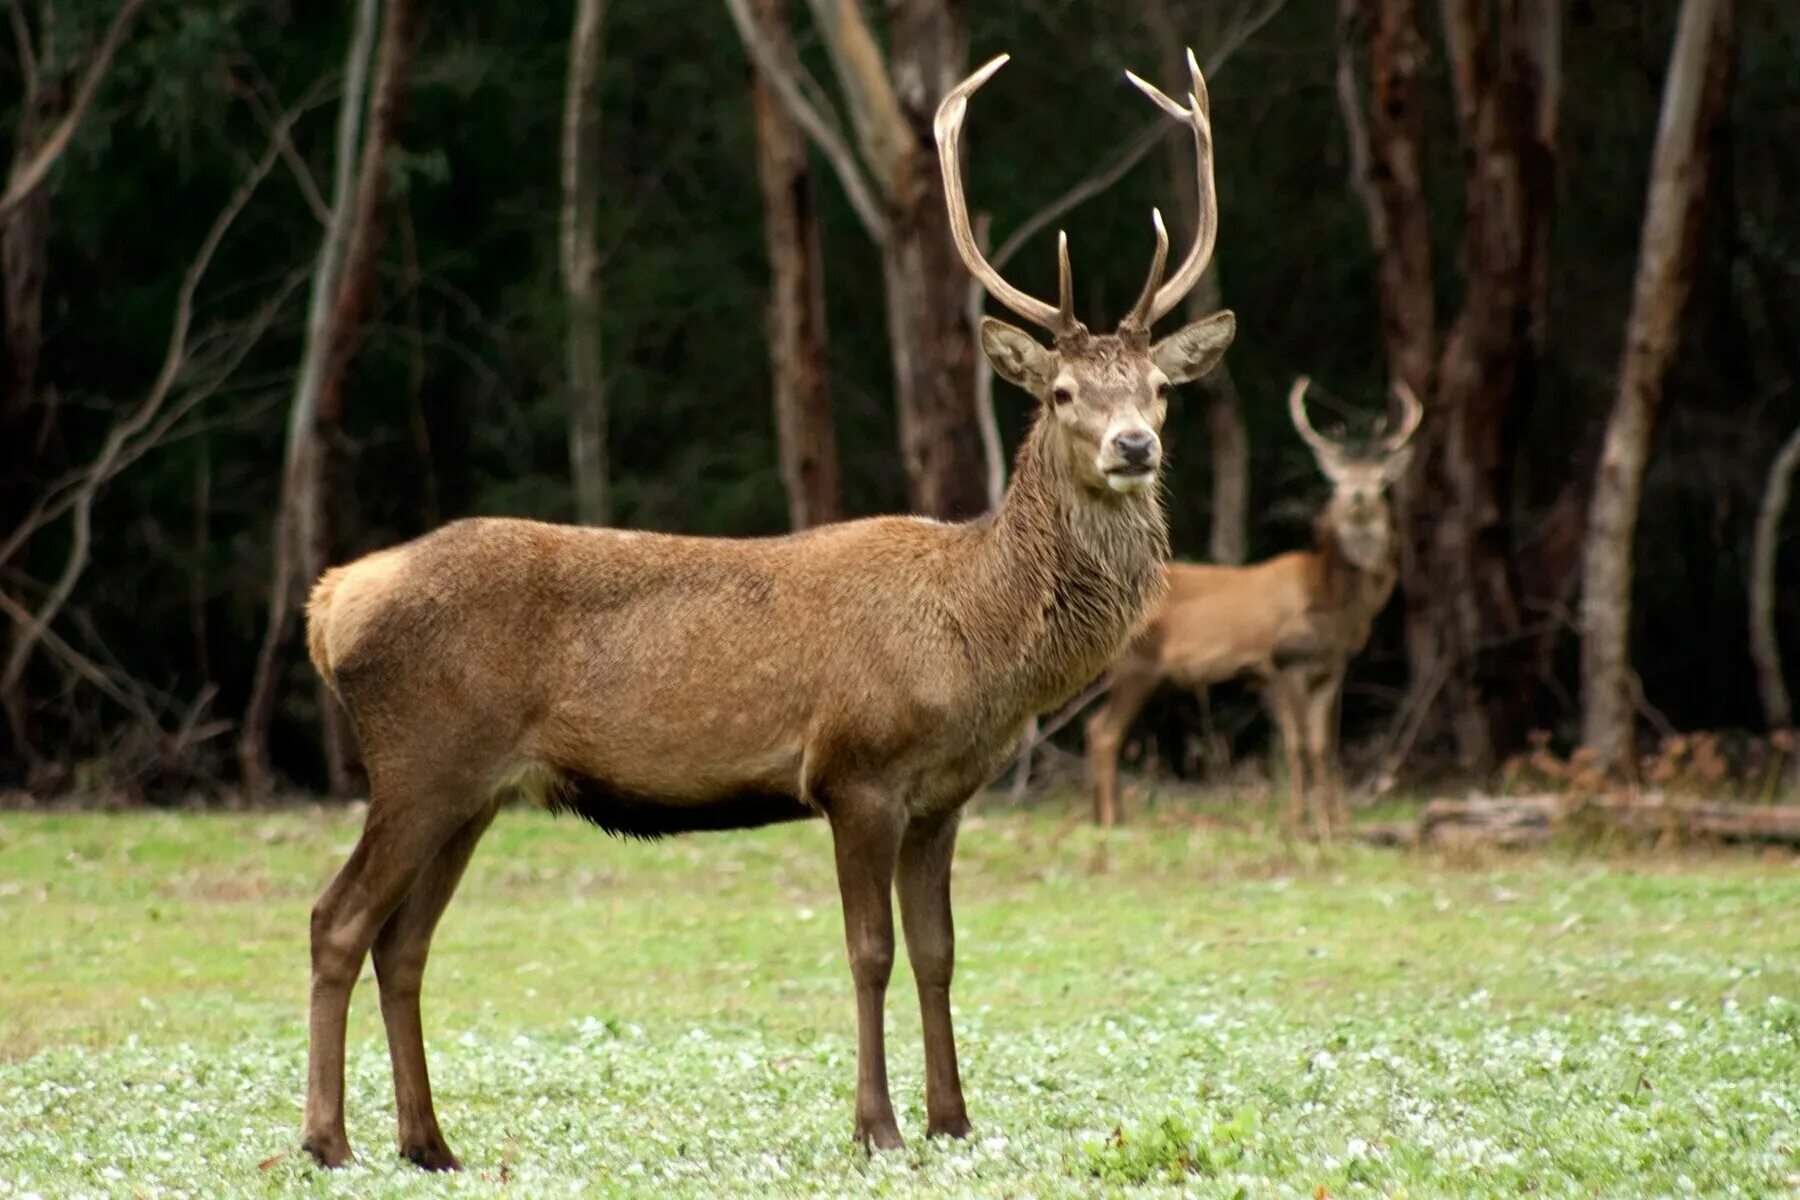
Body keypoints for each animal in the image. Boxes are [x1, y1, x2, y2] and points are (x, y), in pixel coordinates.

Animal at [295, 51, 1238, 1165]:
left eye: (1158, 389)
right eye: (1058, 393)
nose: (1134, 446)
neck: (982, 643)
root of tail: (330, 603)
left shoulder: (945, 795)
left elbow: (939, 952)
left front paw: (955, 1120)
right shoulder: (855, 769)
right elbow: (870, 951)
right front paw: (877, 1127)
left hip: (473, 788)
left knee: (404, 943)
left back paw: (428, 1143)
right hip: (419, 759)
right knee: (338, 920)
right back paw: (327, 1141)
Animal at [1080, 379, 1418, 841]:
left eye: (1380, 478)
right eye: (1338, 479)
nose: (1359, 497)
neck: (1331, 601)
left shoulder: (1332, 667)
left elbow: (1324, 745)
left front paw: (1336, 822)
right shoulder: (1283, 660)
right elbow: (1295, 745)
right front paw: (1300, 820)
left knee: (1097, 727)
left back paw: (1109, 816)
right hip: (1138, 664)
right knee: (1103, 732)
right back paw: (1113, 820)